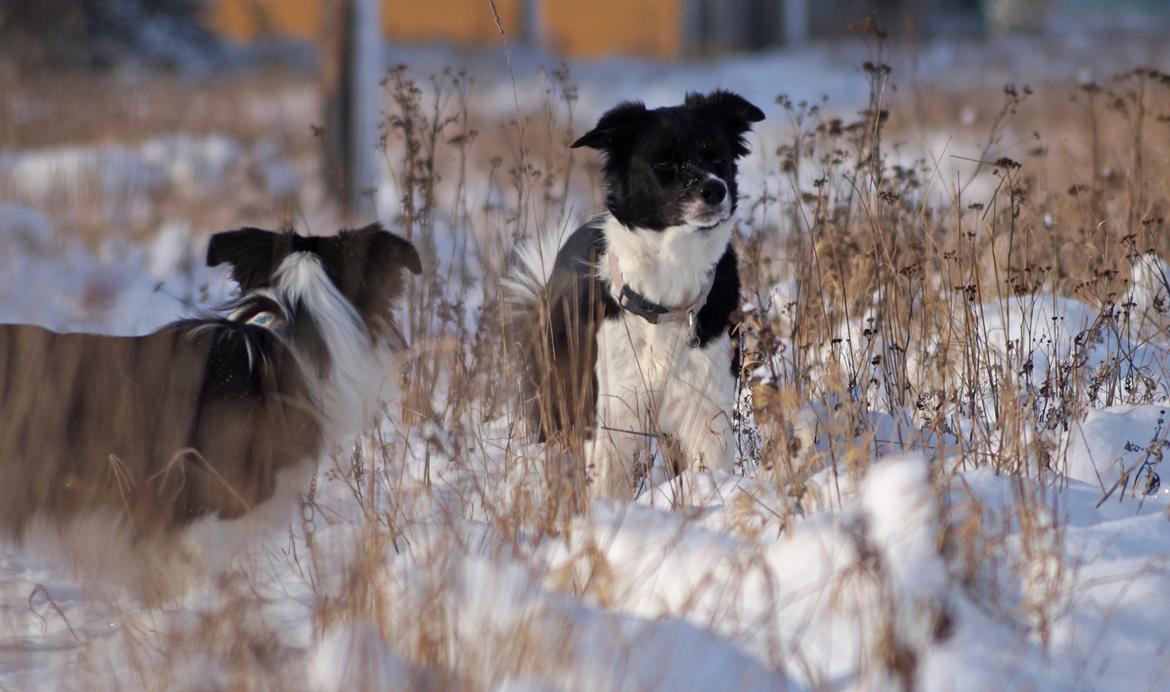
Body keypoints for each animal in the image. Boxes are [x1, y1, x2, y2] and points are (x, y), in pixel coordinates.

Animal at [507, 90, 762, 498]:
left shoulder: (705, 406)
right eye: (665, 163)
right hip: (558, 398)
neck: (665, 294)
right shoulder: (608, 411)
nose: (715, 190)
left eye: (717, 157)